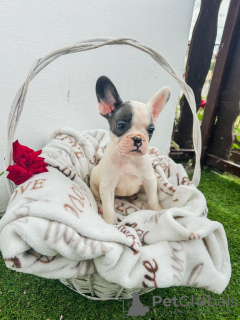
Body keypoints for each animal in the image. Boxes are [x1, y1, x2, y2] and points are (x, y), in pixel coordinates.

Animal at [90, 76, 171, 224]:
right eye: (121, 126)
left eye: (151, 130)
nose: (138, 139)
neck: (128, 158)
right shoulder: (107, 187)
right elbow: (109, 208)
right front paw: (109, 224)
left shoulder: (150, 180)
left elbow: (153, 199)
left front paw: (158, 210)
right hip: (94, 181)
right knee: (97, 197)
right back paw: (99, 206)